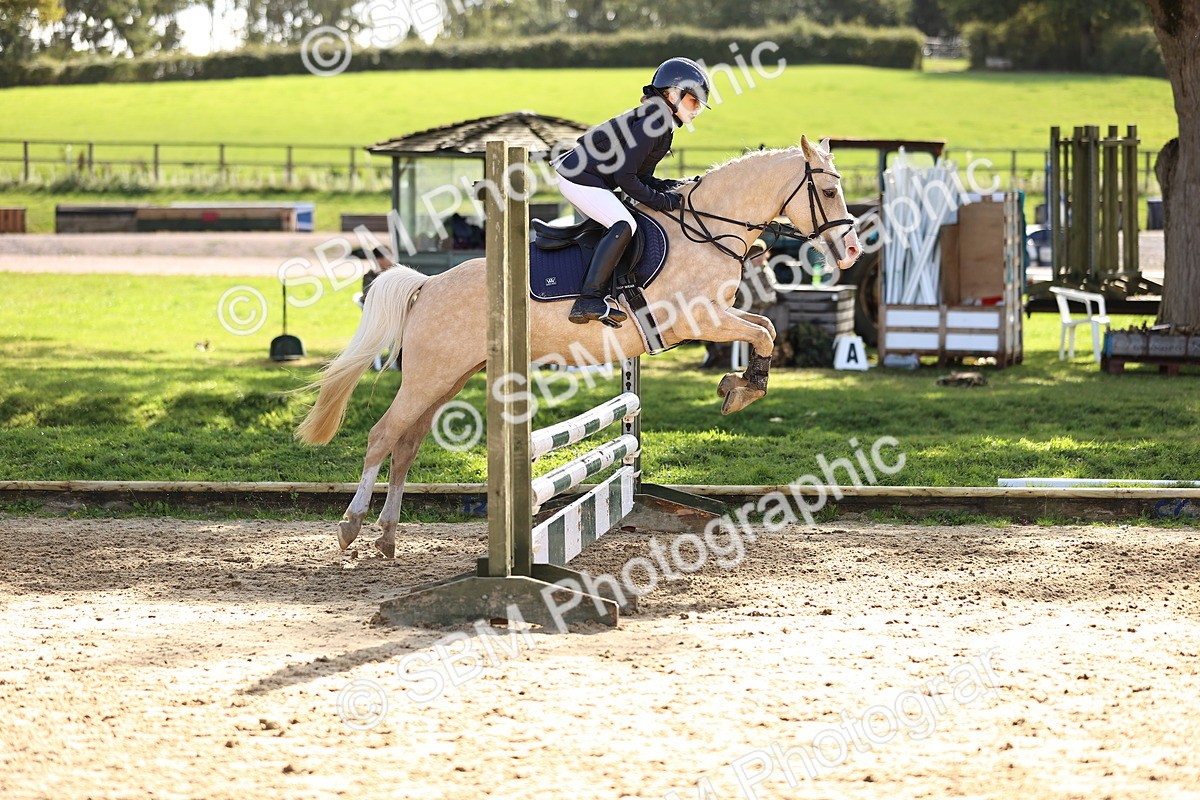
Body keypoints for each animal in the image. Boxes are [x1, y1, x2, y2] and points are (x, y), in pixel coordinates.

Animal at [296, 135, 861, 558]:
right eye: (829, 191)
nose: (853, 249)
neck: (706, 230)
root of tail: (427, 285)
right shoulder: (699, 319)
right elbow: (762, 330)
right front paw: (740, 389)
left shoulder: (718, 317)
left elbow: (764, 326)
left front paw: (740, 385)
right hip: (428, 377)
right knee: (381, 436)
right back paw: (351, 526)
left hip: (446, 378)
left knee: (406, 445)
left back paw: (388, 537)